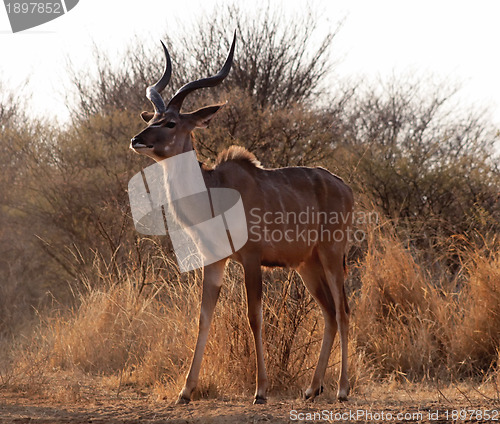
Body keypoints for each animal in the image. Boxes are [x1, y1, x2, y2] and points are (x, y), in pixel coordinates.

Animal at [131, 33, 354, 404]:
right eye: (151, 120)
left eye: (171, 122)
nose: (137, 139)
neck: (213, 191)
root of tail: (343, 185)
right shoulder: (214, 260)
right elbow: (204, 318)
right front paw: (184, 392)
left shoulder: (251, 258)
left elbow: (254, 317)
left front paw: (261, 391)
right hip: (306, 265)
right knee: (329, 314)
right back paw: (311, 389)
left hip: (332, 255)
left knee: (343, 310)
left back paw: (342, 389)